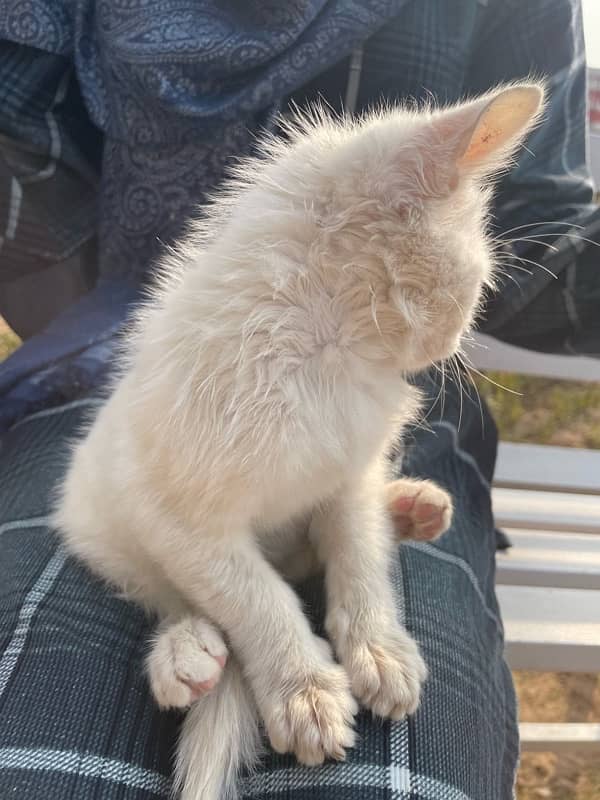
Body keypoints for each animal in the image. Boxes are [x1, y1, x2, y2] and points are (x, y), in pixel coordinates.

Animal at [55, 83, 544, 800]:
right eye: (474, 285)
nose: (451, 342)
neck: (325, 357)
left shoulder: (350, 473)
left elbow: (358, 555)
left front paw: (377, 648)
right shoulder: (180, 520)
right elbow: (255, 599)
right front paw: (303, 692)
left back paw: (412, 509)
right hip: (100, 521)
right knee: (168, 592)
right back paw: (183, 652)